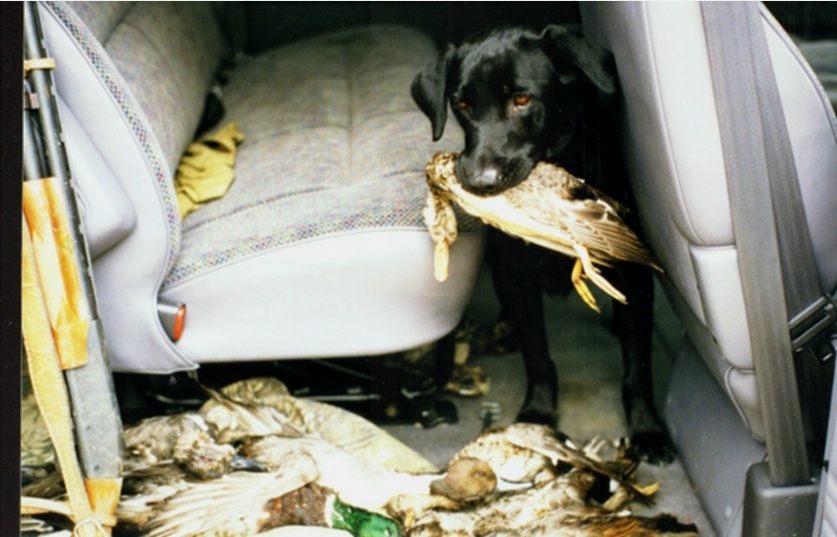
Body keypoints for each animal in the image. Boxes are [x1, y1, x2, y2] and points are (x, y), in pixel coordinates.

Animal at [412, 25, 675, 464]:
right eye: (462, 104)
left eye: (522, 99)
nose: (479, 182)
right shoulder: (515, 275)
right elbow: (537, 354)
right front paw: (538, 414)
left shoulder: (635, 274)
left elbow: (638, 365)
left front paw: (647, 429)